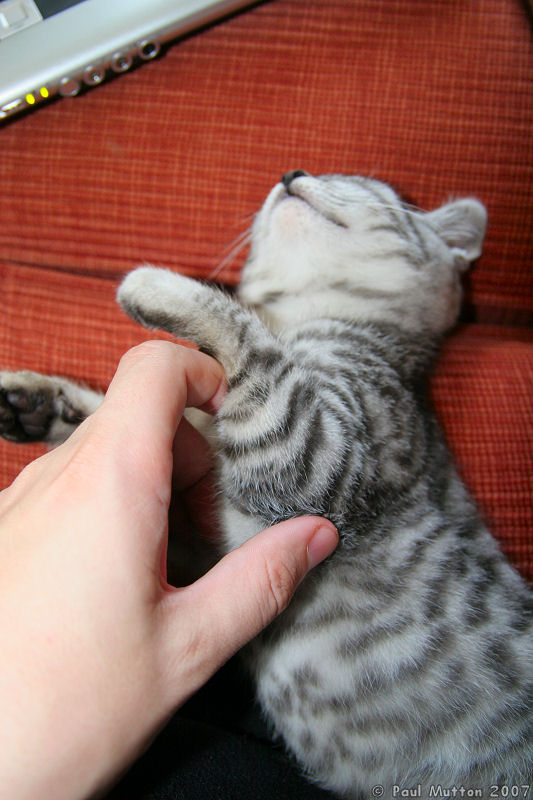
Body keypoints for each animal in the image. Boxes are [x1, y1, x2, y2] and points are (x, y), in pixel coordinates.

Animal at [1, 172, 532, 796]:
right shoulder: (207, 545)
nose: (291, 174)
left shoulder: (323, 457)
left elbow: (253, 346)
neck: (303, 319)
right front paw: (40, 404)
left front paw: (158, 285)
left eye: (360, 184)